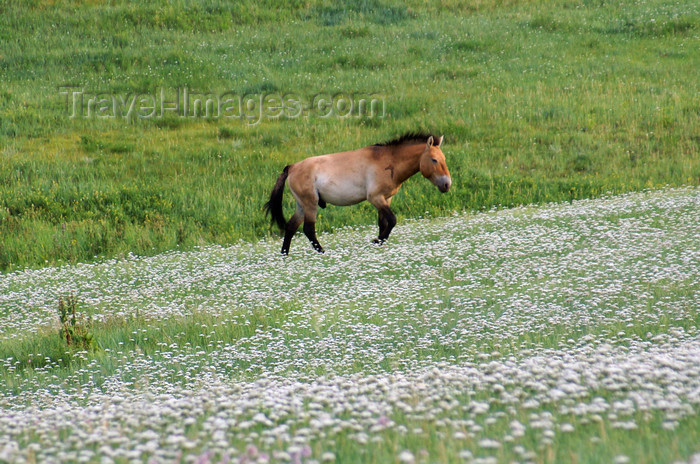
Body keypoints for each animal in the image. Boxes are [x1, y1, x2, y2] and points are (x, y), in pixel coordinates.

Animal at [264, 132, 454, 256]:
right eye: (434, 160)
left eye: (444, 159)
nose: (447, 184)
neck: (388, 162)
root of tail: (292, 167)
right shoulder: (375, 198)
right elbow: (392, 220)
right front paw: (377, 241)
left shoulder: (386, 199)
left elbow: (383, 223)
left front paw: (380, 241)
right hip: (310, 204)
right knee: (308, 229)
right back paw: (322, 252)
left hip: (302, 205)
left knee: (290, 227)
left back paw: (284, 254)